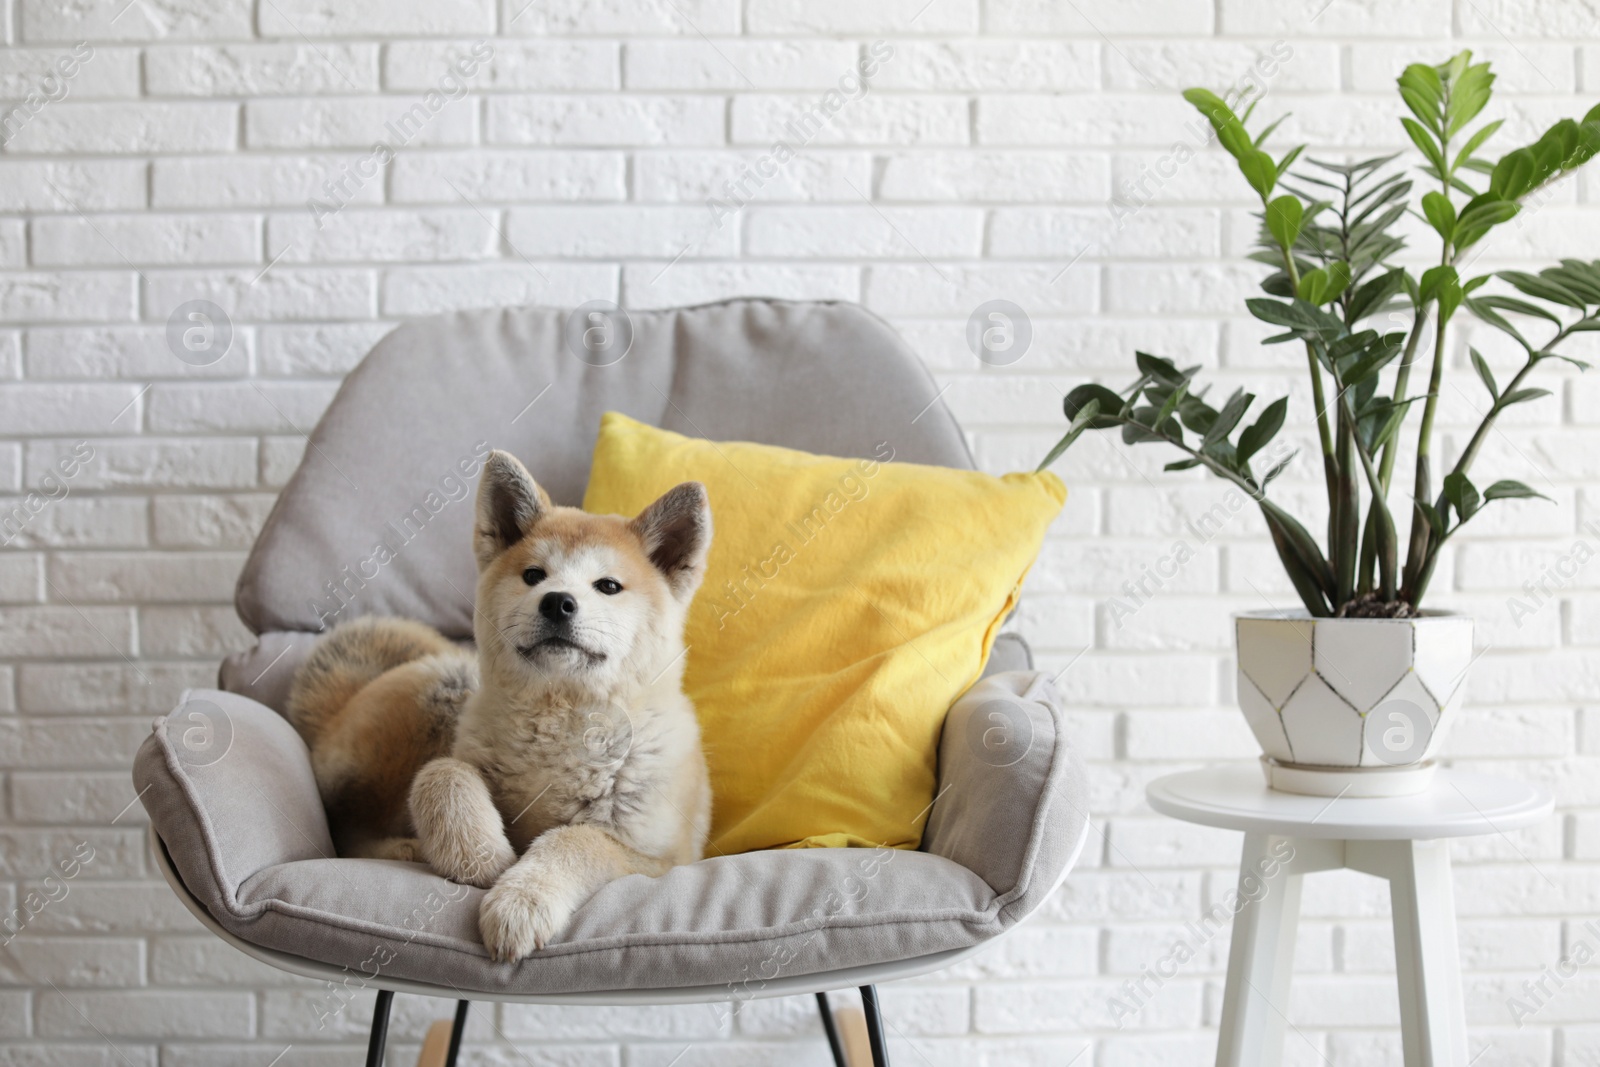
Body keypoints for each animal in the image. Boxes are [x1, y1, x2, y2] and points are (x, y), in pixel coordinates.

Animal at [286, 447, 713, 966]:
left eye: (608, 586)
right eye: (533, 576)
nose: (557, 602)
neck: (560, 724)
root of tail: (333, 713)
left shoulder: (660, 858)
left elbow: (576, 839)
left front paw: (522, 900)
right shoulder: (461, 760)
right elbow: (443, 774)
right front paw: (482, 856)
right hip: (446, 681)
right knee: (351, 829)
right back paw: (410, 847)